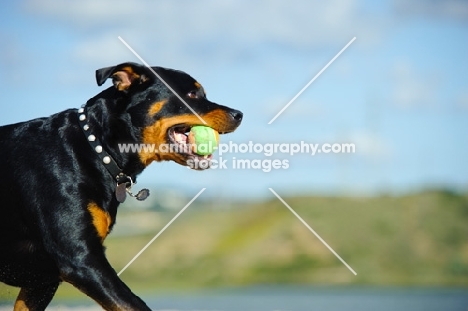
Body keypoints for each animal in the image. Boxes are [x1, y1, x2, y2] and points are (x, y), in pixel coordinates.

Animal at [0, 62, 245, 310]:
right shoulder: (80, 259)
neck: (96, 149)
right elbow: (134, 304)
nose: (239, 114)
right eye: (192, 94)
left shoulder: (43, 281)